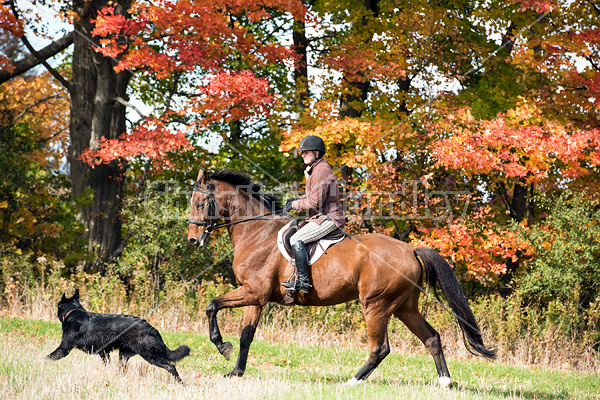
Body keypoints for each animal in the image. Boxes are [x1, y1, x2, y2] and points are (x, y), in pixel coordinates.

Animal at [46, 290, 190, 382]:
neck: (73, 312)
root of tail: (150, 328)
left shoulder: (64, 349)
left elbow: (47, 358)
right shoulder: (104, 352)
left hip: (150, 355)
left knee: (171, 367)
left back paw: (180, 383)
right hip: (124, 355)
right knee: (122, 369)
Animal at [189, 170, 496, 388]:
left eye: (201, 203)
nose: (193, 240)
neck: (256, 232)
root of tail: (411, 249)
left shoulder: (253, 291)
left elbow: (212, 305)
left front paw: (222, 346)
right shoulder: (256, 296)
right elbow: (246, 336)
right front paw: (235, 370)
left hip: (376, 305)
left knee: (380, 348)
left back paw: (352, 381)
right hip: (404, 307)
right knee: (431, 338)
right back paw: (445, 381)